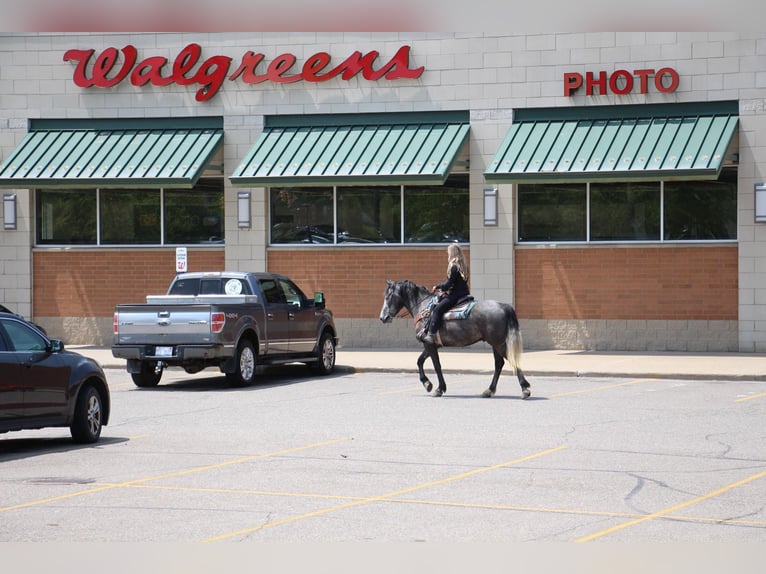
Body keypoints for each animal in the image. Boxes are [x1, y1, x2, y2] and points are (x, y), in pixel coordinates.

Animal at [380, 280, 536, 400]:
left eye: (388, 296)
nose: (383, 317)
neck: (424, 307)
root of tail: (504, 306)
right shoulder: (431, 345)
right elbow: (420, 361)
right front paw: (427, 384)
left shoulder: (429, 344)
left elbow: (436, 365)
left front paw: (438, 388)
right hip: (495, 344)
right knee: (499, 364)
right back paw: (489, 390)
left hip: (499, 343)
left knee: (510, 361)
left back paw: (525, 389)